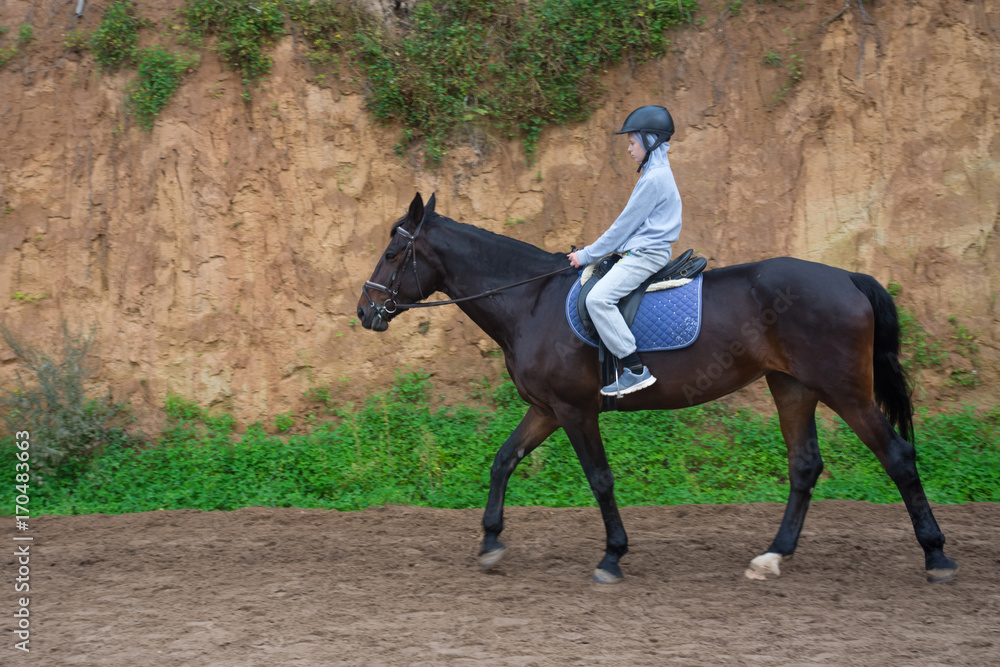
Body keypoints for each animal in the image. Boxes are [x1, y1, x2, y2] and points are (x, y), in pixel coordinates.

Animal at [357, 192, 958, 585]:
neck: (531, 302)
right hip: (792, 387)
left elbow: (600, 479)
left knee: (897, 456)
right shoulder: (547, 410)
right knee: (805, 465)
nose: (365, 311)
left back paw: (936, 556)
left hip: (844, 390)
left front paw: (612, 557)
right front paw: (489, 543)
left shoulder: (575, 411)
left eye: (392, 254)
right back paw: (772, 556)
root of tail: (846, 277)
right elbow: (504, 460)